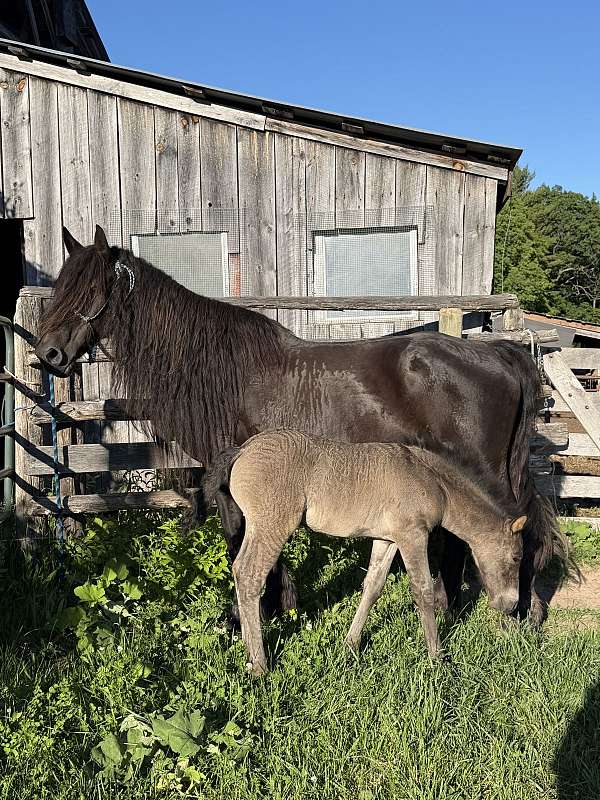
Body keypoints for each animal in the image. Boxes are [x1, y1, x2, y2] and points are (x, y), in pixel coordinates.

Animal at [34, 225, 566, 625]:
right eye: (59, 287)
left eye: (91, 291)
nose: (48, 354)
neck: (226, 369)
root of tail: (500, 353)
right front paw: (278, 605)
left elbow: (236, 540)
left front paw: (250, 615)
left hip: (486, 473)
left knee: (512, 527)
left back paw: (513, 612)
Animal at [194, 430, 527, 674]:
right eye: (516, 558)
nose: (511, 605)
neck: (432, 479)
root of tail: (242, 450)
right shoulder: (412, 536)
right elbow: (423, 590)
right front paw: (437, 658)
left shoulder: (387, 539)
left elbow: (373, 586)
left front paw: (350, 644)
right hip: (272, 526)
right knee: (249, 575)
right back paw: (260, 664)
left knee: (240, 573)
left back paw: (249, 648)